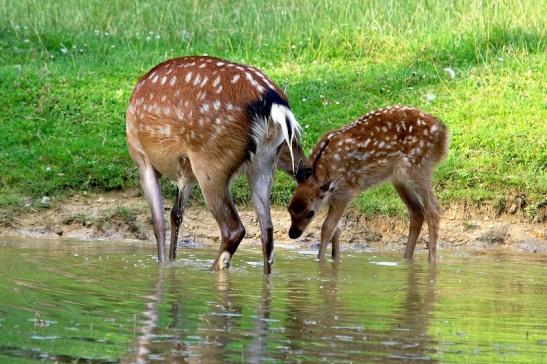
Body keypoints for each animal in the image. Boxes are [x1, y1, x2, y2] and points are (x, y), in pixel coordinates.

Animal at [125, 55, 304, 272]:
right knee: (267, 230)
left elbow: (159, 223)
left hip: (211, 164)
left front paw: (163, 265)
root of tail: (274, 104)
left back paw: (214, 268)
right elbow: (176, 215)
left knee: (234, 228)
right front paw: (172, 261)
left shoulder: (142, 158)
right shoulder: (186, 171)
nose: (304, 168)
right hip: (264, 163)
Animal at [288, 106, 448, 264]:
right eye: (289, 209)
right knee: (417, 211)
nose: (293, 234)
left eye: (310, 213)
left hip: (419, 167)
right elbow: (336, 229)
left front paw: (319, 260)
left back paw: (431, 262)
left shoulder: (346, 191)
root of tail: (443, 132)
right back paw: (406, 259)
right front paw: (335, 259)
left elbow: (327, 228)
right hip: (399, 178)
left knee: (433, 209)